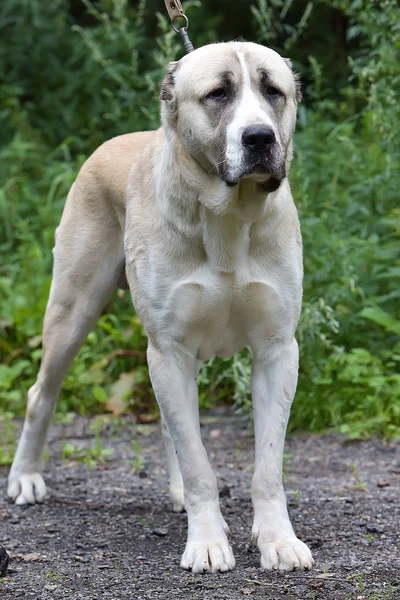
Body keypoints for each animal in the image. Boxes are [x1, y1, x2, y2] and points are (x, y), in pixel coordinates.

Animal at [6, 39, 312, 576]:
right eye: (217, 94)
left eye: (274, 90)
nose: (259, 137)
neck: (228, 215)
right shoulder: (168, 350)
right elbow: (197, 461)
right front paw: (207, 542)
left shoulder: (276, 351)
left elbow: (267, 466)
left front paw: (278, 540)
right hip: (72, 311)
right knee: (41, 393)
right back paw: (26, 477)